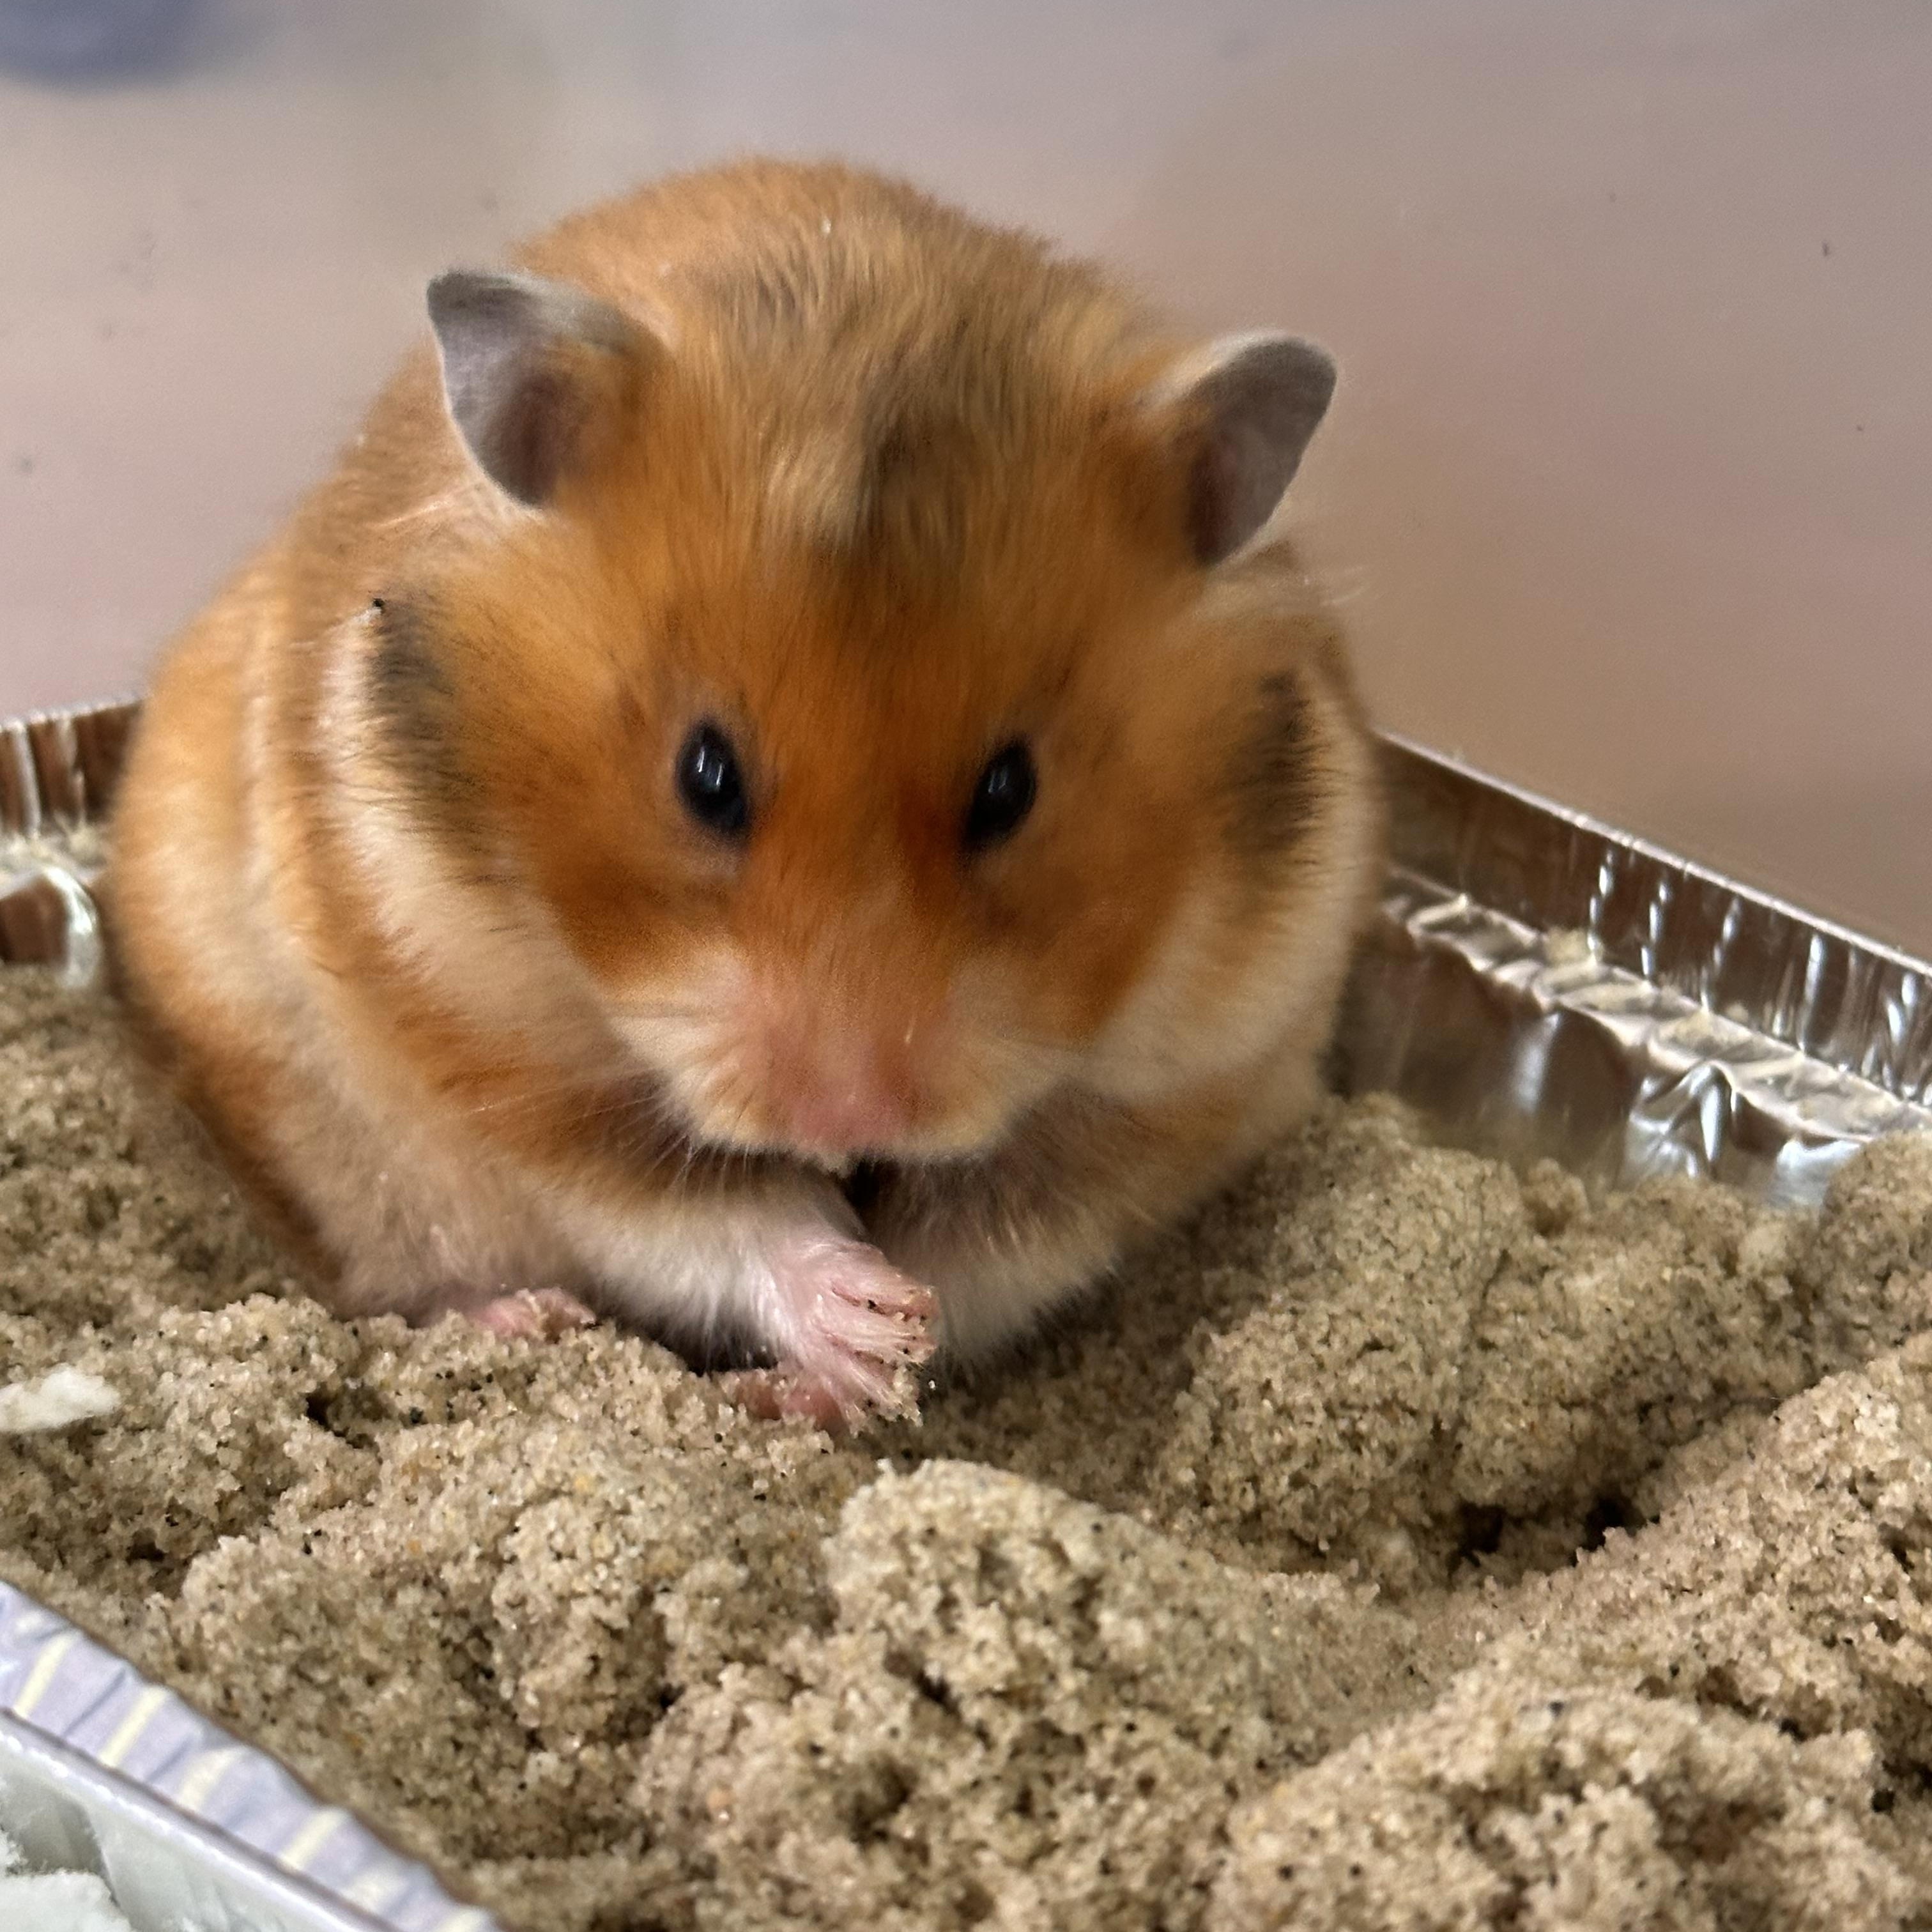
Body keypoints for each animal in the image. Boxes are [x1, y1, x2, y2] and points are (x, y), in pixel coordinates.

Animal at [107, 159, 1384, 1427]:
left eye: (1010, 789)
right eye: (704, 774)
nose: (845, 1118)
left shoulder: (1176, 1078)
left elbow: (990, 1238)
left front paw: (870, 1354)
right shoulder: (505, 1059)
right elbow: (711, 1214)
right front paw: (856, 1324)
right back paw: (530, 1317)